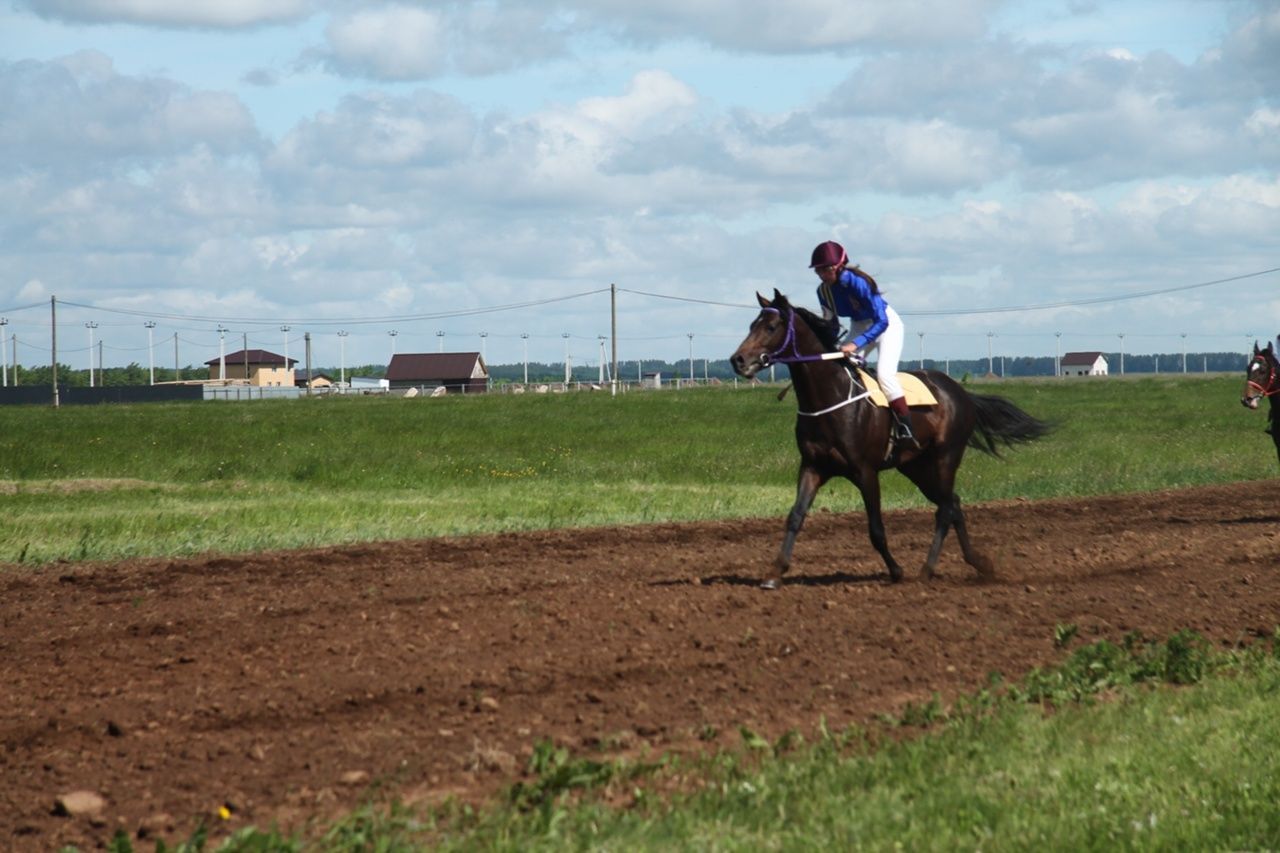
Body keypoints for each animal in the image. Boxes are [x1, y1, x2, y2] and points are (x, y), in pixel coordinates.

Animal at [732, 289, 1049, 589]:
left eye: (771, 326)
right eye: (751, 324)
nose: (738, 360)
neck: (830, 396)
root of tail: (961, 393)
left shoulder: (865, 471)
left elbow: (876, 529)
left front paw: (896, 571)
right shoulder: (813, 466)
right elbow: (795, 516)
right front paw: (774, 573)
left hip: (946, 456)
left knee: (945, 509)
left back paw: (926, 570)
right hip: (915, 466)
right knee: (953, 503)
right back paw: (978, 562)